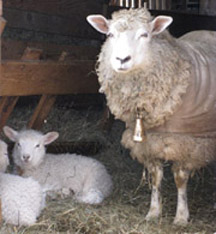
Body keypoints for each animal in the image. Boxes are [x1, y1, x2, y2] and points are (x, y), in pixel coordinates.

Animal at [86, 8, 216, 225]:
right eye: (110, 34)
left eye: (145, 35)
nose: (122, 59)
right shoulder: (149, 140)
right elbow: (155, 177)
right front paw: (153, 212)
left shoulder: (186, 142)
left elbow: (180, 178)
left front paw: (181, 217)